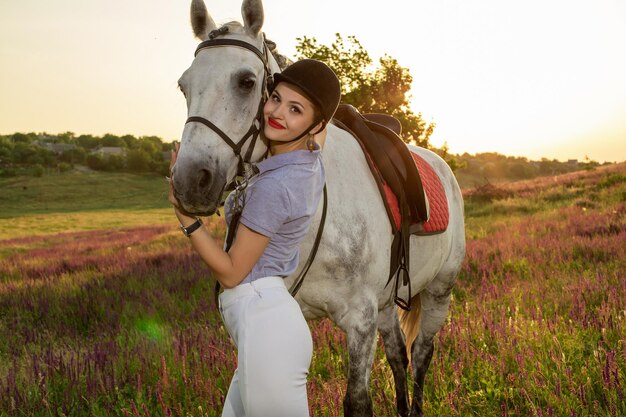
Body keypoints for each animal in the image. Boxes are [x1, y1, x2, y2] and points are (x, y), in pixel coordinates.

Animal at [171, 1, 464, 414]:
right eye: (184, 85)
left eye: (246, 81)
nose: (190, 182)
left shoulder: (360, 321)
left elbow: (357, 401)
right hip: (387, 304)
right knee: (398, 356)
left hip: (440, 290)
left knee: (422, 352)